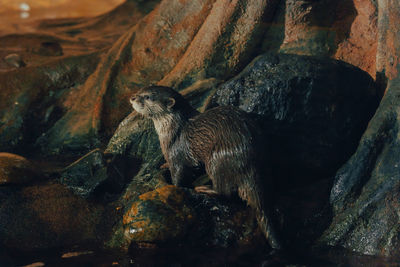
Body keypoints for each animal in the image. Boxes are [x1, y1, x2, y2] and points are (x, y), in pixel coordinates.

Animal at [130, 86, 282, 251]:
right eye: (140, 90)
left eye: (148, 97)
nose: (132, 98)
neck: (173, 130)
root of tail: (251, 168)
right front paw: (164, 165)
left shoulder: (177, 154)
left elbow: (179, 176)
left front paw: (174, 185)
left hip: (216, 160)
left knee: (225, 191)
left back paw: (204, 189)